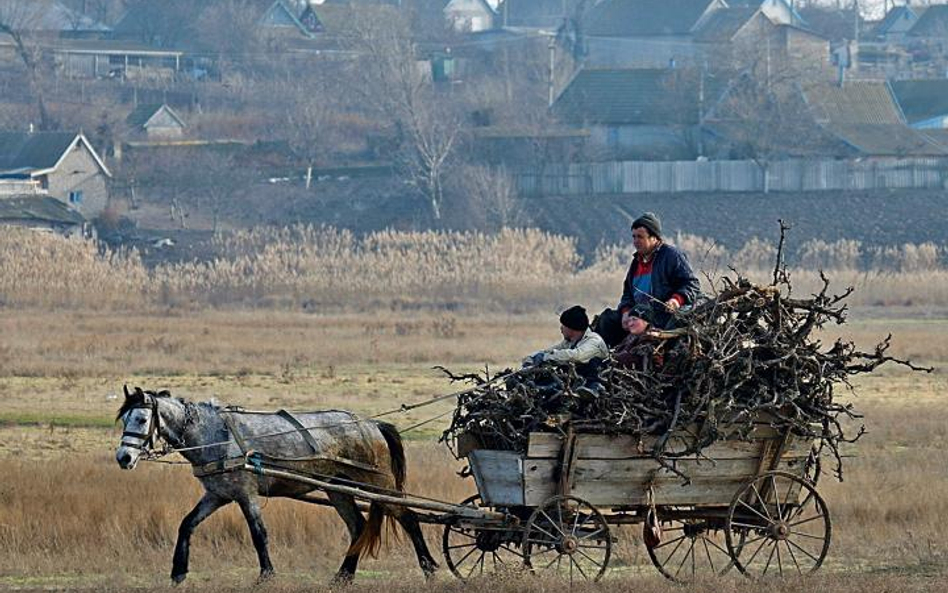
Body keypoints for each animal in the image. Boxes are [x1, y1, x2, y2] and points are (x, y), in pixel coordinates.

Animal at [114, 386, 436, 584]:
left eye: (141, 418)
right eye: (125, 419)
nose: (123, 457)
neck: (213, 435)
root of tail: (372, 424)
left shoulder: (246, 494)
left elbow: (259, 534)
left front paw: (266, 574)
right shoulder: (218, 495)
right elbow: (187, 524)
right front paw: (178, 572)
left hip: (377, 483)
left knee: (408, 517)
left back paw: (430, 569)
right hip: (337, 489)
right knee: (358, 526)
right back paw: (343, 577)